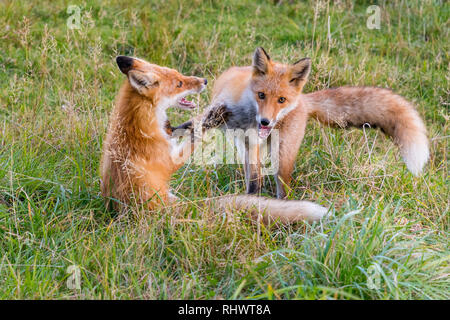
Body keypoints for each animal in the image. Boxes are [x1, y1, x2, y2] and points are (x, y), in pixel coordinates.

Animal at [100, 55, 328, 222]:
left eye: (178, 74)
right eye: (180, 83)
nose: (204, 81)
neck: (134, 121)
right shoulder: (169, 161)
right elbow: (194, 136)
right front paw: (211, 120)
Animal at [175, 47, 428, 198]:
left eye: (281, 100)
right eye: (261, 95)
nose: (266, 121)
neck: (246, 114)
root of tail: (303, 100)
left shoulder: (255, 140)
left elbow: (256, 179)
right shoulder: (222, 115)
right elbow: (194, 124)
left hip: (282, 157)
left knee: (282, 186)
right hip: (249, 147)